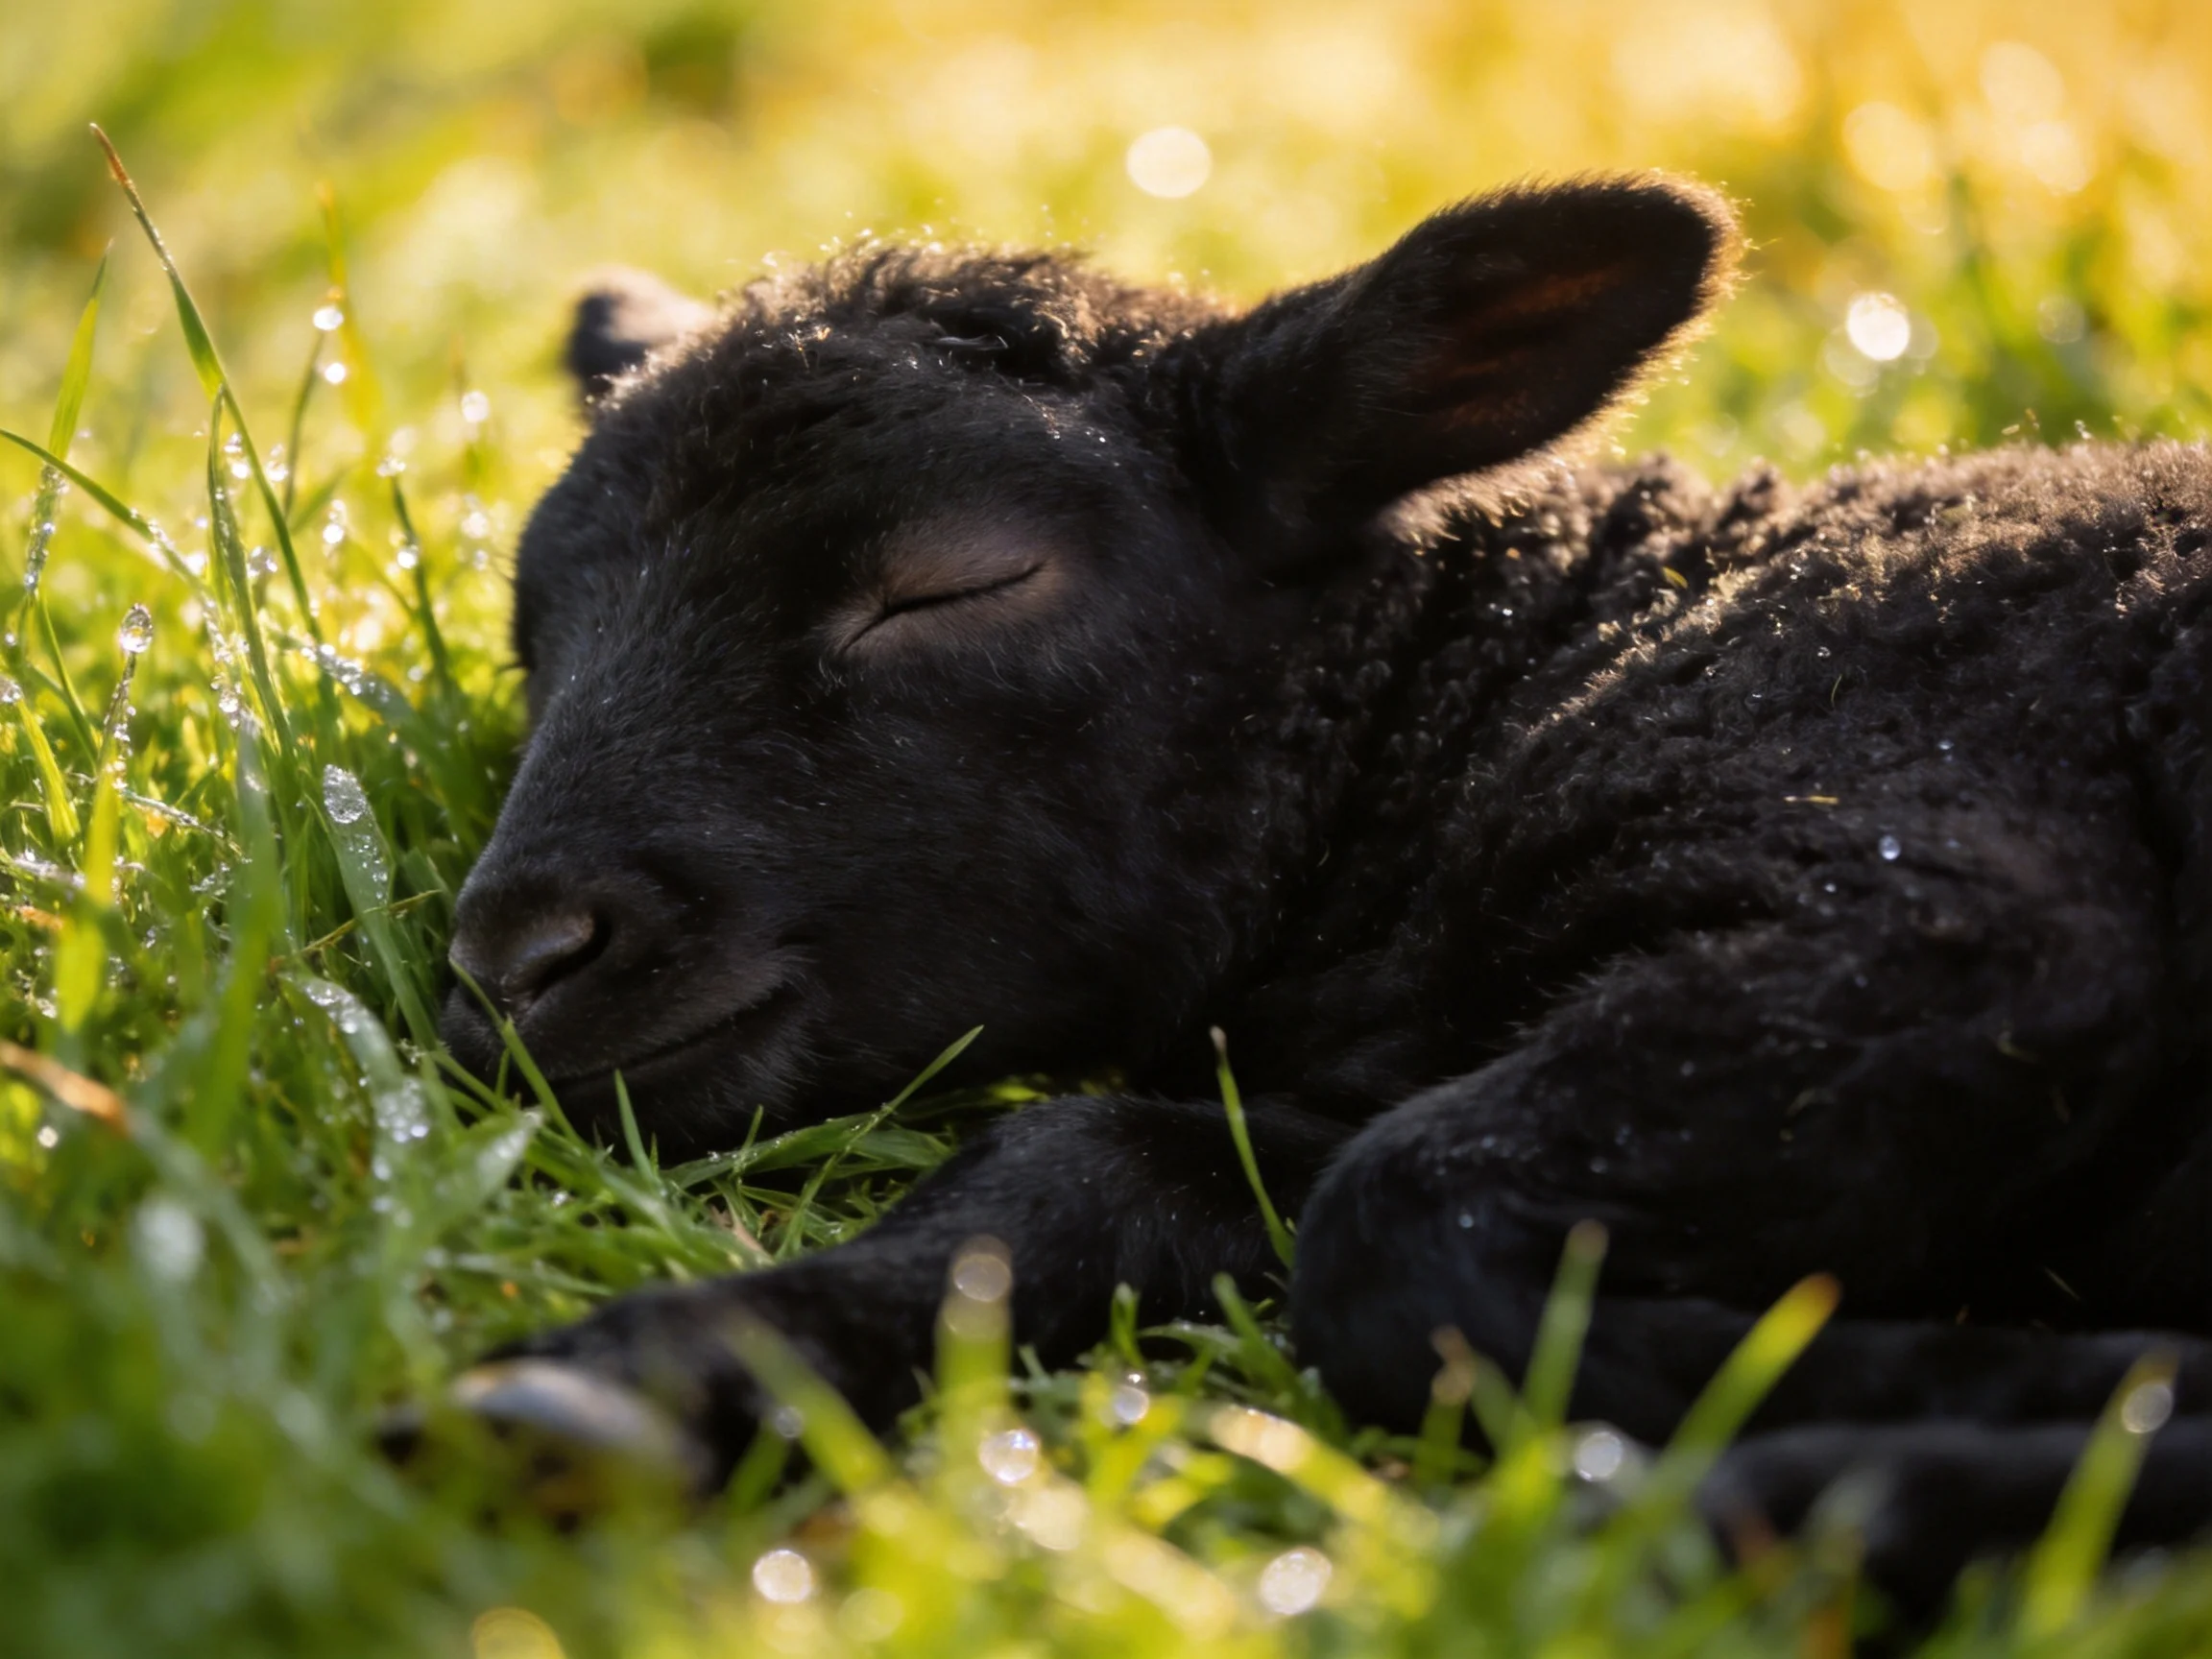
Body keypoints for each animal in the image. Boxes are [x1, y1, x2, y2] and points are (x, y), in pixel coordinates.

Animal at [436, 176, 2212, 1598]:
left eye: (957, 581)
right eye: (533, 631)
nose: (515, 960)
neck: (1533, 671)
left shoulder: (1941, 891)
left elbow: (1388, 1230)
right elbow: (1085, 1166)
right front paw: (614, 1387)